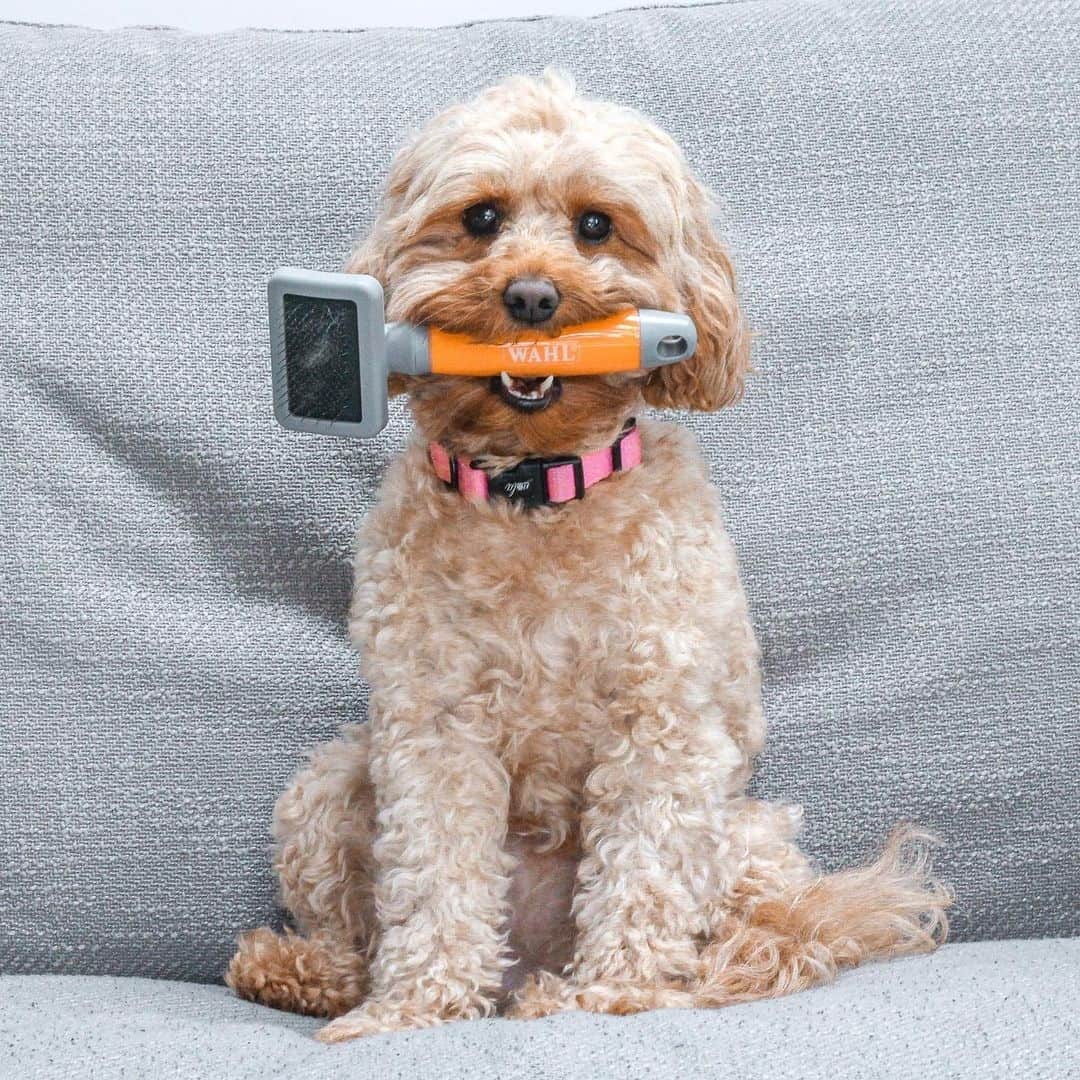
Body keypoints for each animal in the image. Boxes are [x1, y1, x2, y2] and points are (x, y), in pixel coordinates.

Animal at [225, 69, 946, 1045]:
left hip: (750, 835)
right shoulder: (432, 725)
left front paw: (620, 994)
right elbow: (434, 873)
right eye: (482, 217)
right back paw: (305, 972)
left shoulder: (664, 725)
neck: (538, 493)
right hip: (329, 783)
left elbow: (643, 869)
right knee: (359, 928)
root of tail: (527, 955)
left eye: (596, 225)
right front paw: (415, 1007)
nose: (532, 298)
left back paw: (585, 989)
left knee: (753, 942)